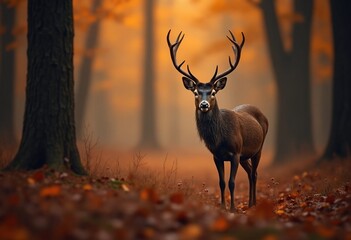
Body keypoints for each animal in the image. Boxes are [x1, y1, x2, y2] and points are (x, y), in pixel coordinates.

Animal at [168, 30, 270, 212]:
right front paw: (223, 206)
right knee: (251, 172)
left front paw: (233, 208)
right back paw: (250, 203)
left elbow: (232, 182)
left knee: (255, 173)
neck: (219, 138)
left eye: (213, 92)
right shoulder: (216, 156)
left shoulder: (235, 153)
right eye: (196, 92)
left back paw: (254, 204)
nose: (204, 104)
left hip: (258, 147)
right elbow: (221, 182)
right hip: (245, 156)